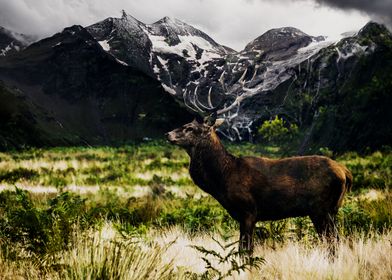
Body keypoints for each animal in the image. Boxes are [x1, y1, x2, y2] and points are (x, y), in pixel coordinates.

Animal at [165, 112, 352, 254]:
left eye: (190, 128)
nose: (168, 134)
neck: (223, 178)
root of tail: (345, 172)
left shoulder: (248, 210)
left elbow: (245, 250)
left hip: (320, 208)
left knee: (331, 241)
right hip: (330, 210)